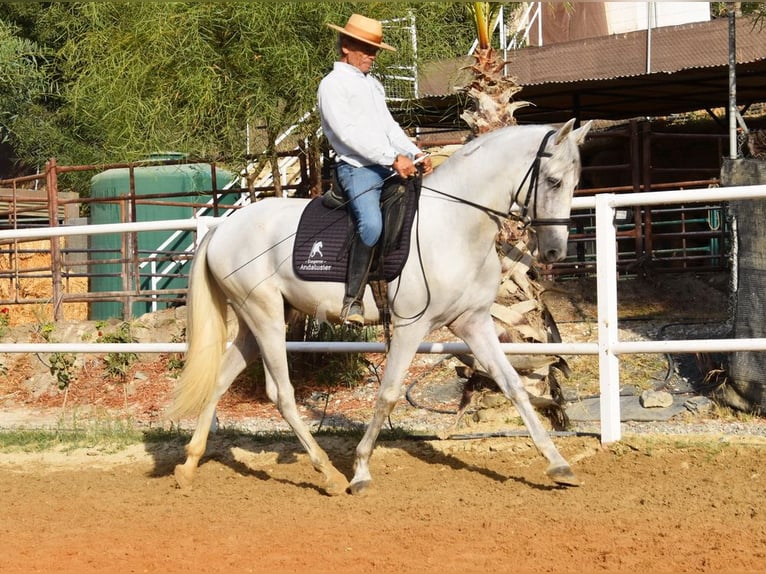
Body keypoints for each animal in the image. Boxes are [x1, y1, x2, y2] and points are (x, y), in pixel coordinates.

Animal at [168, 119, 592, 495]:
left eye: (575, 183)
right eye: (553, 181)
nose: (554, 252)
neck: (454, 224)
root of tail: (223, 228)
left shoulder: (472, 323)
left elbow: (513, 385)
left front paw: (558, 465)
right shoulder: (410, 327)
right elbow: (388, 394)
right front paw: (360, 472)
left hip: (255, 322)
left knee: (221, 379)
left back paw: (189, 465)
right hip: (266, 317)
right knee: (282, 393)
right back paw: (328, 474)